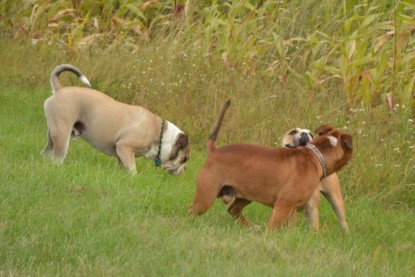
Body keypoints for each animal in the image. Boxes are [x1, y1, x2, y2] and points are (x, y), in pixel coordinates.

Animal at [189, 100, 354, 230]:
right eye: (293, 132)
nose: (305, 135)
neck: (316, 155)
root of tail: (214, 151)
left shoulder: (303, 209)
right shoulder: (283, 206)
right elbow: (273, 229)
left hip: (247, 193)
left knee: (233, 209)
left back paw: (253, 227)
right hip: (206, 198)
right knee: (193, 212)